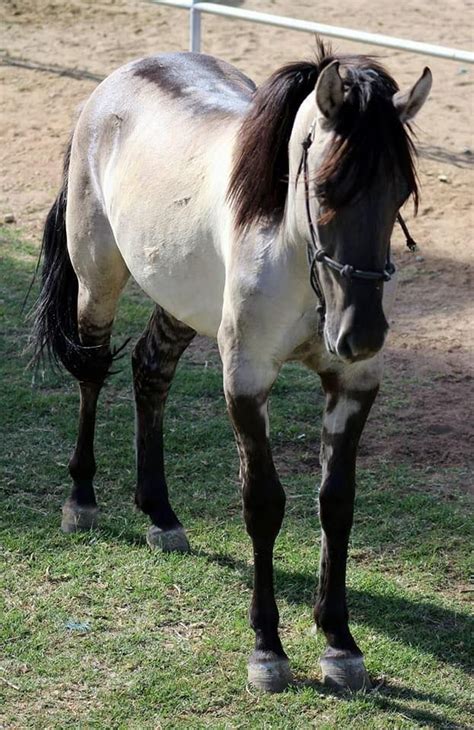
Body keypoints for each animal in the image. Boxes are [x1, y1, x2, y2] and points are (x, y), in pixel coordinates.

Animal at [33, 38, 432, 688]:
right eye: (325, 191)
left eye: (400, 194)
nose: (361, 334)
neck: (293, 256)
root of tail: (117, 80)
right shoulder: (245, 381)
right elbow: (263, 504)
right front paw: (268, 651)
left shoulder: (352, 386)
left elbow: (336, 503)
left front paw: (339, 644)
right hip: (98, 282)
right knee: (92, 373)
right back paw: (82, 501)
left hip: (180, 301)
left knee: (150, 370)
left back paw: (162, 514)